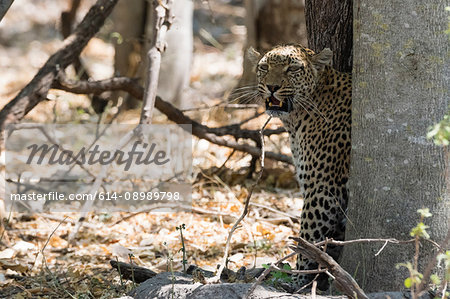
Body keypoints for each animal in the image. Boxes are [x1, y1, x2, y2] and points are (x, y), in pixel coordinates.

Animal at [248, 44, 354, 290]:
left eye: (293, 68)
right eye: (264, 67)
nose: (272, 87)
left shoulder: (323, 188)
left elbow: (307, 235)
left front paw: (296, 280)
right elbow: (329, 242)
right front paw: (324, 277)